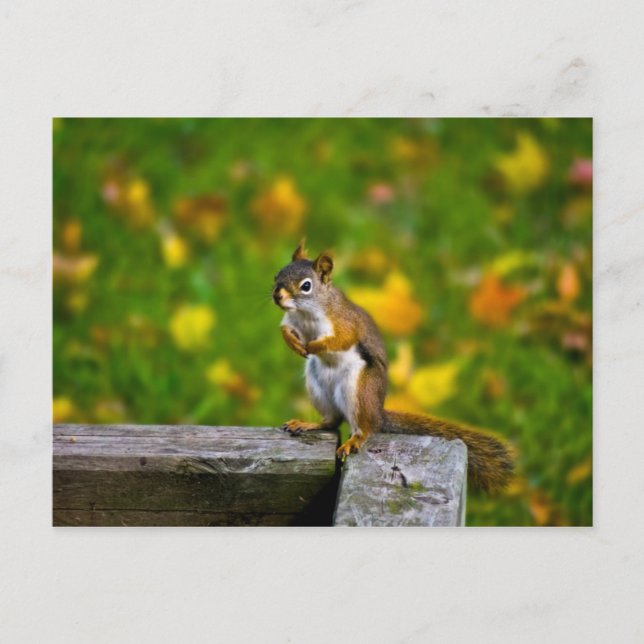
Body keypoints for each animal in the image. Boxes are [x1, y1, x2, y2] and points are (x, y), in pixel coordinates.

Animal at [273, 241, 514, 492]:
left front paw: (313, 345)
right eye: (276, 276)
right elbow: (285, 329)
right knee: (331, 421)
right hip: (318, 389)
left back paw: (354, 440)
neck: (306, 312)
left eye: (306, 286)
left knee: (365, 428)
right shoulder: (292, 322)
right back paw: (308, 424)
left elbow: (341, 339)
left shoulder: (343, 322)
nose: (277, 296)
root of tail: (378, 413)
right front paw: (294, 343)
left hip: (358, 389)